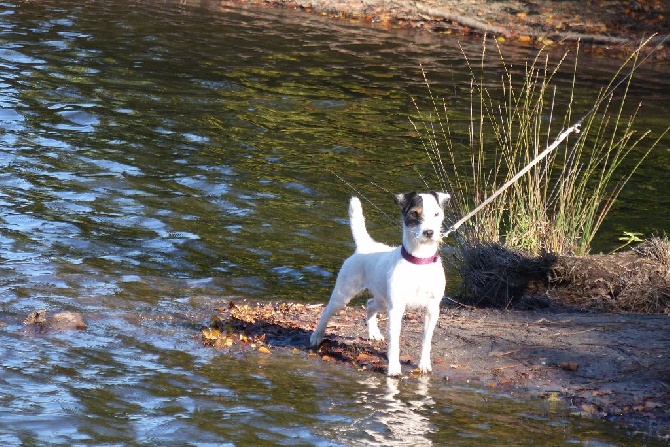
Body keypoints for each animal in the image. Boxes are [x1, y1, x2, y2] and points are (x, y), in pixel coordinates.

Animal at [312, 191, 452, 376]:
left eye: (437, 214)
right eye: (414, 213)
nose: (429, 232)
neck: (419, 262)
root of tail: (365, 245)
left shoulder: (432, 310)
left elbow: (426, 340)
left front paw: (424, 364)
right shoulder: (396, 309)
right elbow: (394, 342)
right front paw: (393, 368)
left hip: (383, 301)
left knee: (370, 304)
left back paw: (373, 333)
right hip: (343, 296)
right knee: (326, 312)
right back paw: (317, 336)